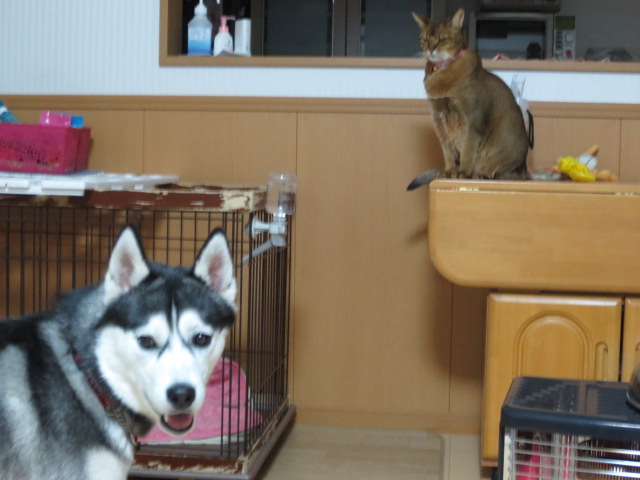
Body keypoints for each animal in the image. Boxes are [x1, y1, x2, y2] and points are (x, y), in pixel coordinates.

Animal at [407, 8, 530, 190]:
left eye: (443, 39)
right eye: (425, 39)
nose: (430, 50)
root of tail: (526, 171)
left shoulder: (471, 120)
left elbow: (467, 149)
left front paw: (462, 172)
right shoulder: (439, 119)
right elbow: (447, 150)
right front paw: (449, 171)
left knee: (507, 174)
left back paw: (483, 174)